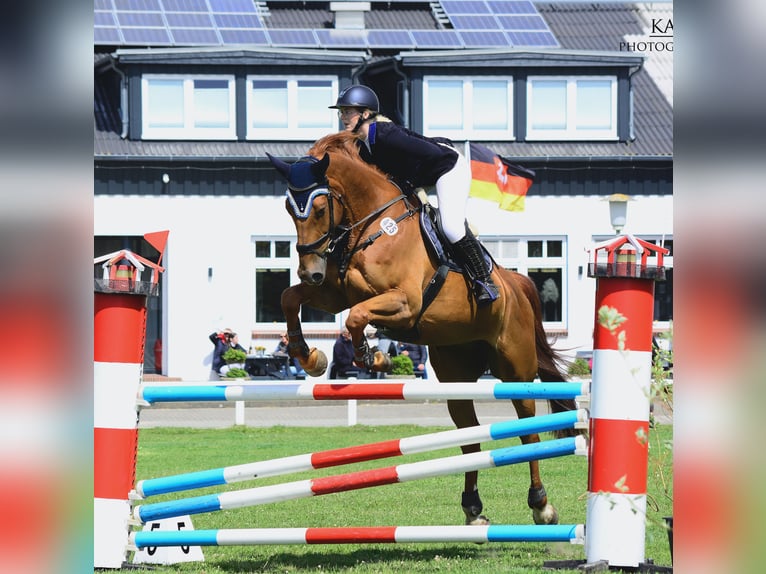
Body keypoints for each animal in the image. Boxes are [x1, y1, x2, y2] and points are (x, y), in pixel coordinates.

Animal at [270, 133, 576, 528]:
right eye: (290, 209)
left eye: (320, 209)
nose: (310, 271)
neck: (373, 225)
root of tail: (517, 285)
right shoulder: (335, 293)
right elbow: (290, 298)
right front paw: (308, 356)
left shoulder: (405, 302)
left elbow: (356, 317)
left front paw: (373, 357)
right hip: (456, 374)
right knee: (470, 439)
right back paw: (472, 509)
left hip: (515, 369)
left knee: (529, 432)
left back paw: (541, 504)